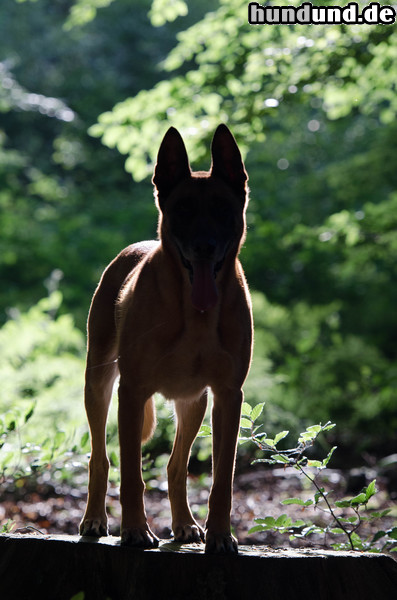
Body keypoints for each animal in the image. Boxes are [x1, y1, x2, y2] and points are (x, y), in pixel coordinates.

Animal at [80, 123, 252, 552]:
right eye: (184, 210)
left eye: (222, 209)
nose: (205, 247)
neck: (196, 314)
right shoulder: (131, 391)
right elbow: (130, 474)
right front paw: (134, 530)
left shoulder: (227, 396)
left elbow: (221, 479)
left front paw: (220, 534)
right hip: (98, 384)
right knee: (99, 458)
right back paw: (94, 519)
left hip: (193, 404)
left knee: (175, 466)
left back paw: (185, 523)